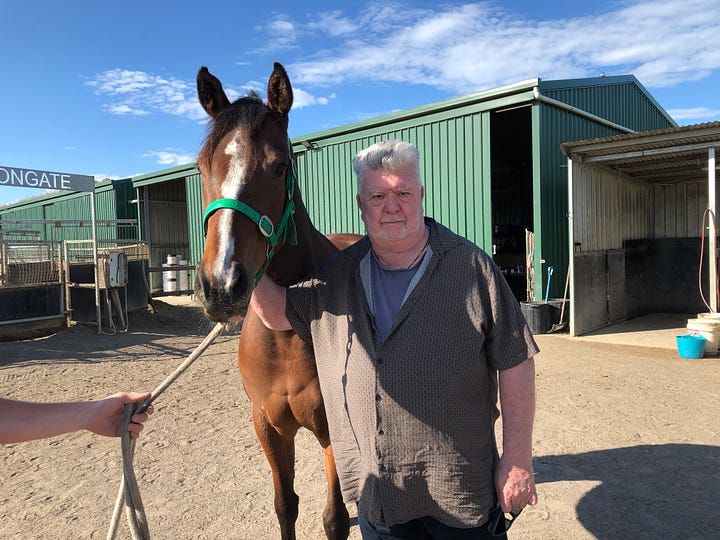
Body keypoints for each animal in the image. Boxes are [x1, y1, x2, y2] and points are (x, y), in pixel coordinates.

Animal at [193, 61, 358, 536]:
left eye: (281, 167)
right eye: (201, 167)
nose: (221, 285)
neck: (287, 331)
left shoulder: (334, 430)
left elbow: (335, 519)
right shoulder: (267, 426)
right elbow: (286, 506)